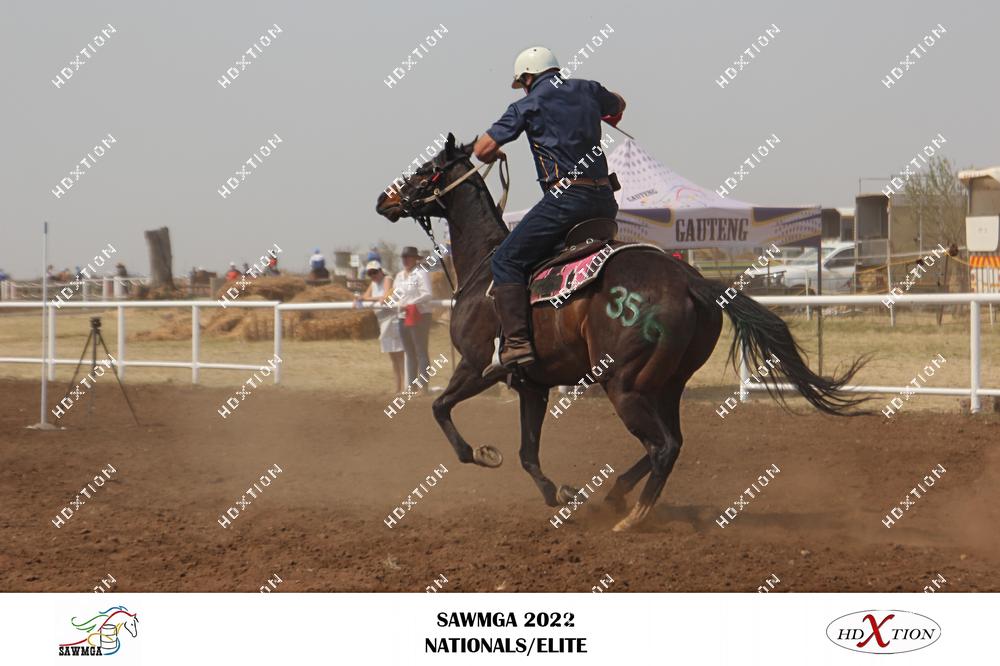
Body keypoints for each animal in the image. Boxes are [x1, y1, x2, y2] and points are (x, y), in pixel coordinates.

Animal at [375, 133, 867, 531]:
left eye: (424, 170)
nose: (384, 198)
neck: (486, 267)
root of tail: (690, 281)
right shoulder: (532, 385)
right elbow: (527, 452)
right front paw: (560, 494)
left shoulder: (479, 365)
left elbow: (440, 408)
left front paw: (480, 453)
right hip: (664, 385)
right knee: (669, 444)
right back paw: (614, 497)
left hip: (622, 384)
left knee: (662, 447)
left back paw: (632, 516)